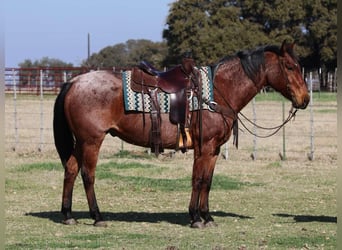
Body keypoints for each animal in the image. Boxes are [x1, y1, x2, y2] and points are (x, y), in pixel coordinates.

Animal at [52, 40, 310, 229]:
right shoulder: (204, 147)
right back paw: (97, 216)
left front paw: (207, 217)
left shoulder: (213, 149)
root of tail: (74, 81)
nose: (305, 99)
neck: (219, 91)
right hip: (91, 141)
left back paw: (68, 215)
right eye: (289, 67)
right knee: (87, 174)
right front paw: (195, 218)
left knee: (71, 169)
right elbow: (198, 179)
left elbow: (207, 181)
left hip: (81, 142)